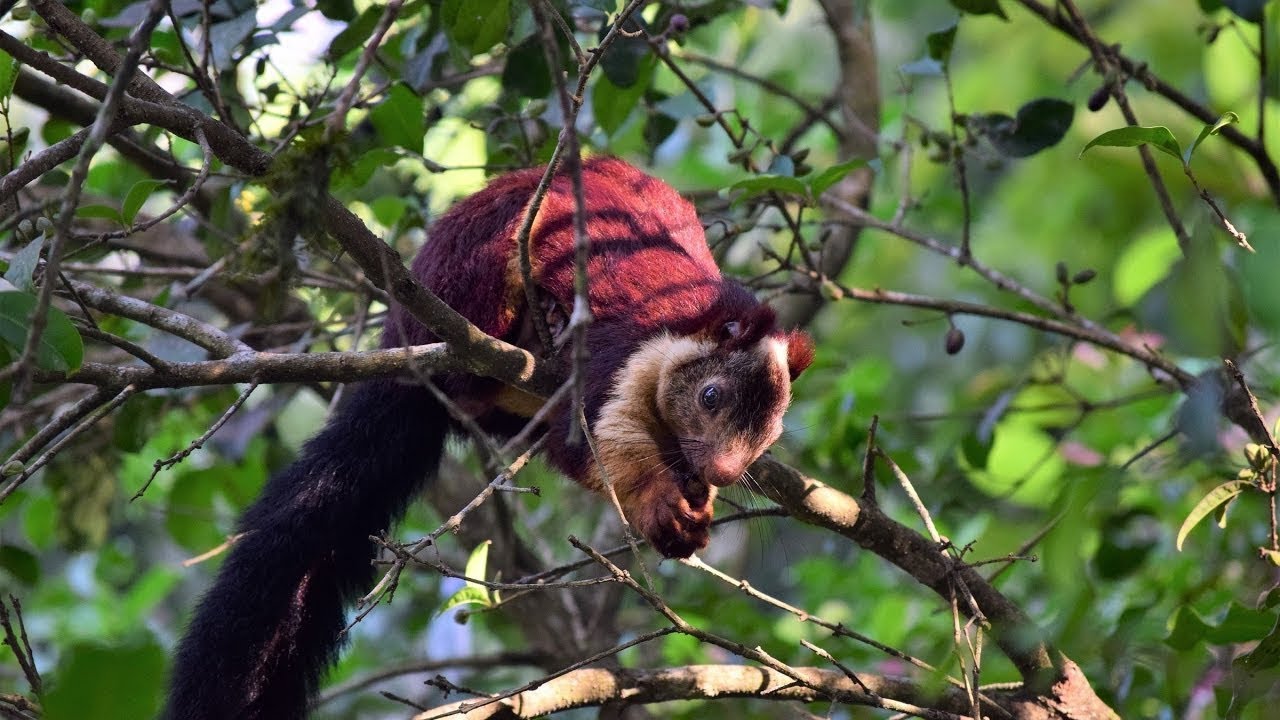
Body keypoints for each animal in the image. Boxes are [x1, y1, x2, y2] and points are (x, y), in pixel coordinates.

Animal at [162, 157, 813, 719]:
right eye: (711, 397)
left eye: (771, 433)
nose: (724, 472)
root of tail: (401, 338)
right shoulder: (614, 355)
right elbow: (590, 446)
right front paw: (659, 504)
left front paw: (698, 502)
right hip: (474, 272)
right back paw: (532, 323)